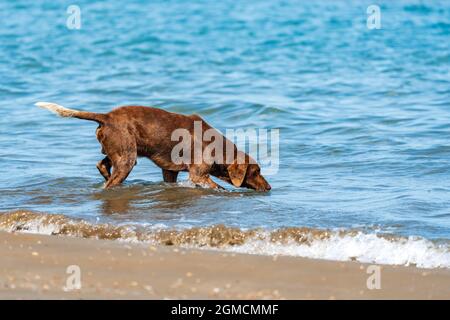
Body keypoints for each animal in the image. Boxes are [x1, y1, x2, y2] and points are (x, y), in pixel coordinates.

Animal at [36, 103, 270, 192]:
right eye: (256, 171)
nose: (269, 187)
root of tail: (106, 117)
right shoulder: (198, 175)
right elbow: (218, 187)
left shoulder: (170, 172)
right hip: (127, 159)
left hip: (119, 151)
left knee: (101, 165)